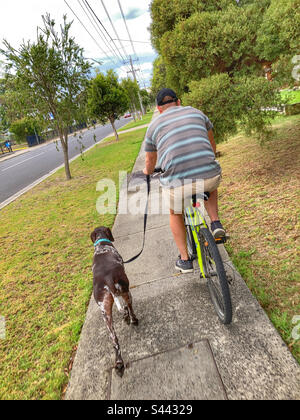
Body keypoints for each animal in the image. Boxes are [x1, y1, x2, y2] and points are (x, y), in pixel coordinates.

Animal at [91, 226, 139, 378]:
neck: (102, 246)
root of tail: (108, 281)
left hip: (105, 314)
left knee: (115, 341)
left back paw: (118, 363)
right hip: (126, 292)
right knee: (129, 308)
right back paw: (133, 320)